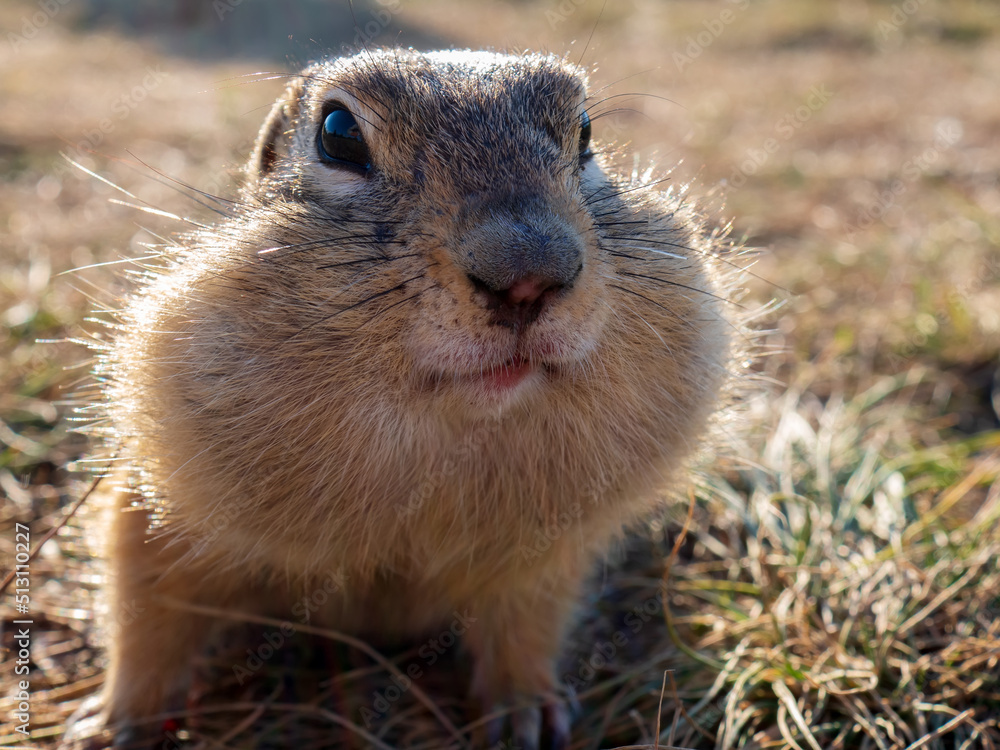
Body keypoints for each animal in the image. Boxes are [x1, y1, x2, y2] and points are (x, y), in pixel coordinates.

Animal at [62, 48, 736, 750]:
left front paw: (527, 710)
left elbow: (525, 627)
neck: (443, 440)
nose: (529, 277)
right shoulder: (156, 501)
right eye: (337, 134)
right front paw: (116, 721)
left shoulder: (540, 559)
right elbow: (145, 610)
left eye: (584, 133)